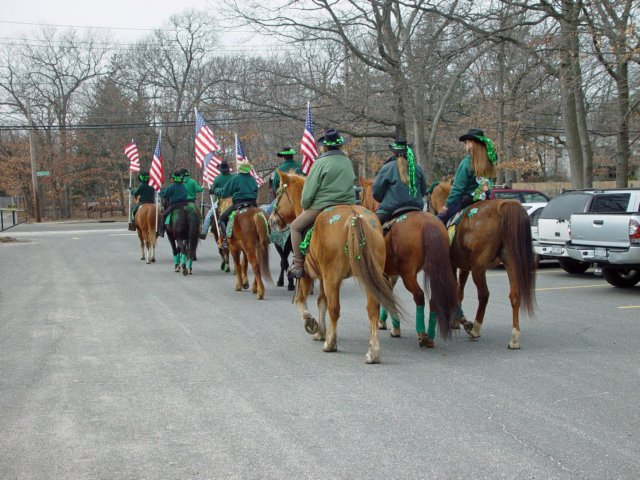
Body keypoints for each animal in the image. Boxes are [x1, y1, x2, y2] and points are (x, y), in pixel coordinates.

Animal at [270, 172, 410, 364]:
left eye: (278, 193)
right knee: (372, 310)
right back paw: (373, 352)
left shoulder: (309, 276)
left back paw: (330, 343)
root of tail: (354, 217)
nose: (271, 219)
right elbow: (321, 302)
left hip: (333, 277)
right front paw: (321, 332)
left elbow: (301, 300)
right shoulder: (323, 278)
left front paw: (312, 324)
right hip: (368, 277)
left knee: (335, 309)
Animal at [358, 178, 458, 346]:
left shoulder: (384, 273)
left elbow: (386, 294)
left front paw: (388, 324)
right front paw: (393, 326)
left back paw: (422, 334)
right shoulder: (392, 274)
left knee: (419, 296)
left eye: (361, 195)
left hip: (408, 275)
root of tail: (428, 223)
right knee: (434, 299)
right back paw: (430, 336)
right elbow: (389, 293)